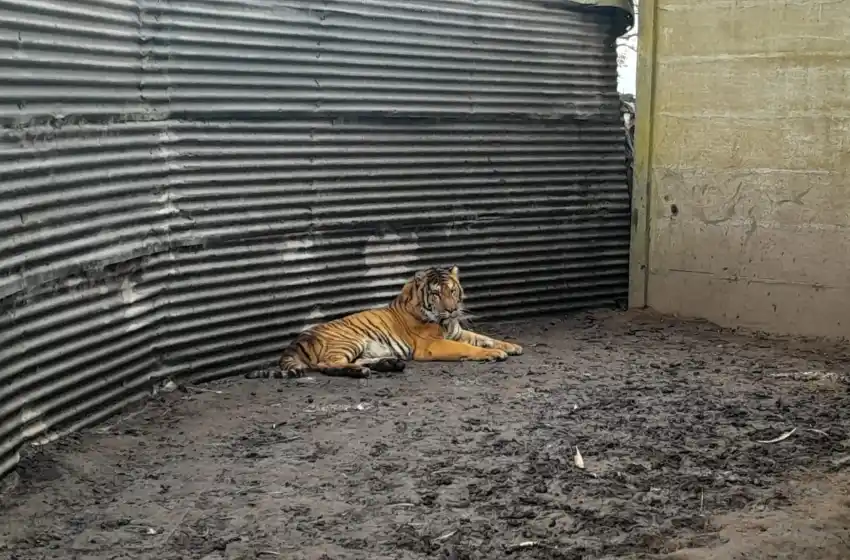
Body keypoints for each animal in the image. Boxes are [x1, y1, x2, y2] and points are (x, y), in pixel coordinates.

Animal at [248, 266, 523, 379]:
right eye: (436, 293)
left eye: (453, 290)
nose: (453, 309)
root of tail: (295, 341)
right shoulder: (432, 345)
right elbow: (468, 348)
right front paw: (493, 354)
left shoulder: (456, 331)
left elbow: (485, 338)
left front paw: (510, 346)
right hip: (349, 340)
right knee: (327, 364)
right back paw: (362, 372)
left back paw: (390, 364)